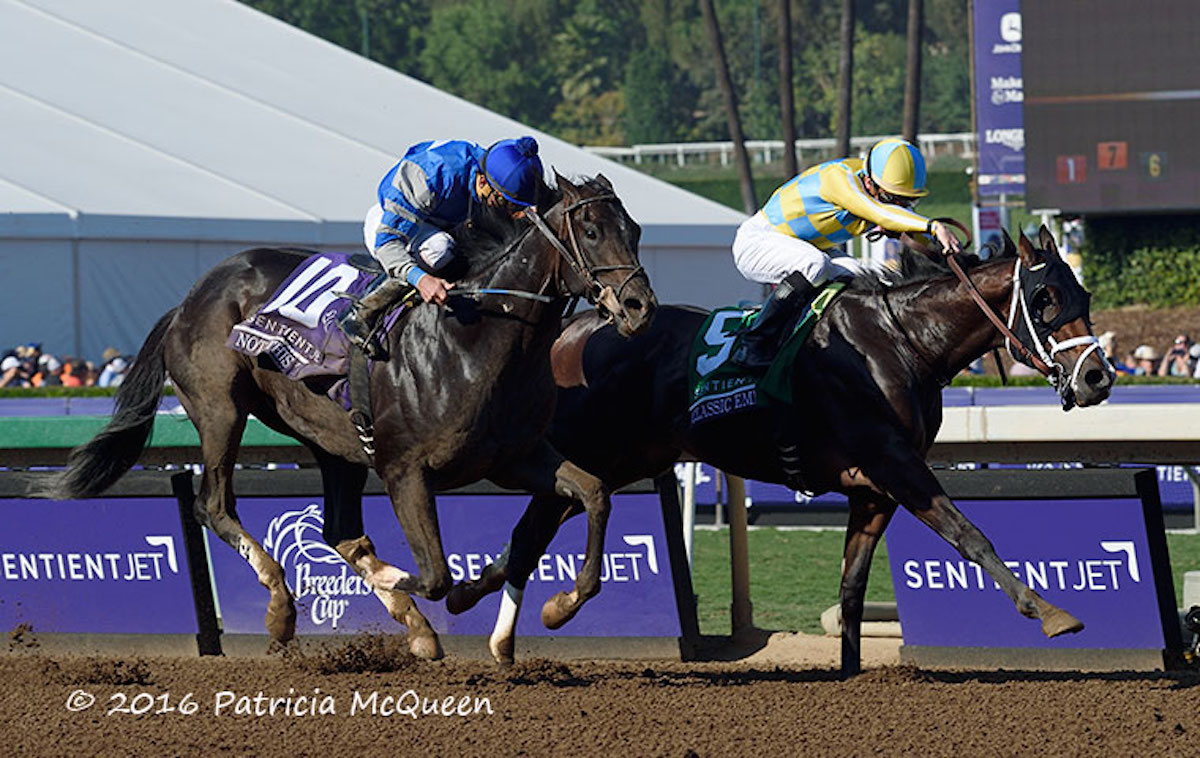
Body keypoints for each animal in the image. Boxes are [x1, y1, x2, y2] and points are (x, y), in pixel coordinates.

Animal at [49, 175, 657, 662]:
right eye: (593, 231)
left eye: (635, 230)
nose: (639, 308)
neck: (475, 336)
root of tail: (190, 298)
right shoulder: (405, 471)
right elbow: (435, 575)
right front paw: (411, 585)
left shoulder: (515, 457)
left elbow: (593, 494)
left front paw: (559, 605)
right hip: (221, 408)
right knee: (213, 505)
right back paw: (282, 608)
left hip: (330, 439)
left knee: (340, 530)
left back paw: (413, 628)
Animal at [448, 227, 1113, 671]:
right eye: (1047, 300)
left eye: (1082, 295)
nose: (1097, 378)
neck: (900, 342)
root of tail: (573, 329)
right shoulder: (896, 464)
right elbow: (969, 534)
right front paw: (1050, 611)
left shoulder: (873, 490)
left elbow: (851, 589)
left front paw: (849, 673)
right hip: (594, 451)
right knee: (536, 527)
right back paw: (521, 611)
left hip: (623, 459)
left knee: (540, 528)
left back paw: (479, 602)